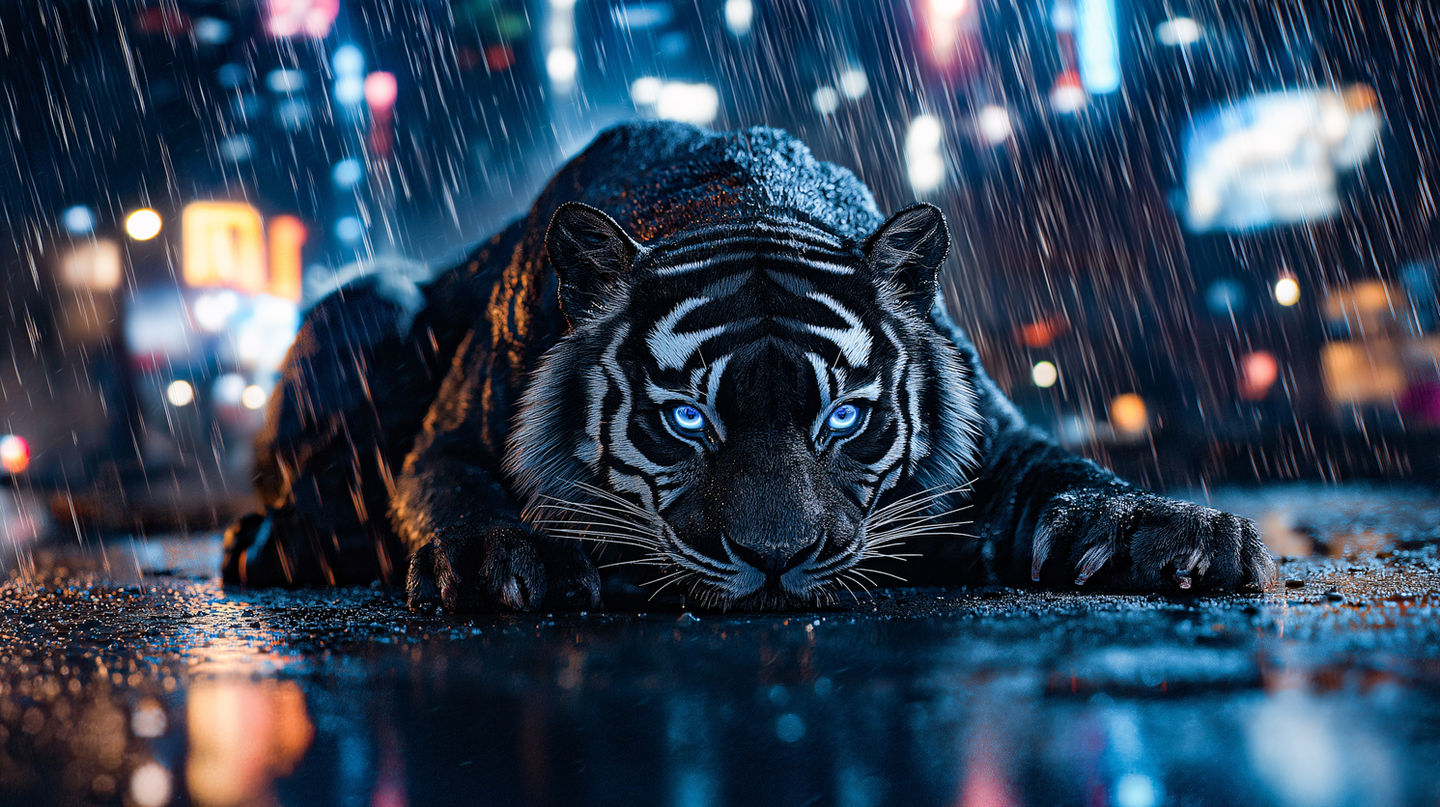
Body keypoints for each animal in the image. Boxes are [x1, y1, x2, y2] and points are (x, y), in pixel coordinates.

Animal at [222, 121, 1276, 611]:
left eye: (846, 418)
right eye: (685, 421)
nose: (777, 557)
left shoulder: (989, 436)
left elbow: (1063, 465)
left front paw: (1162, 528)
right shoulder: (449, 441)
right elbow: (452, 490)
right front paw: (507, 557)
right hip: (375, 299)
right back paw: (271, 544)